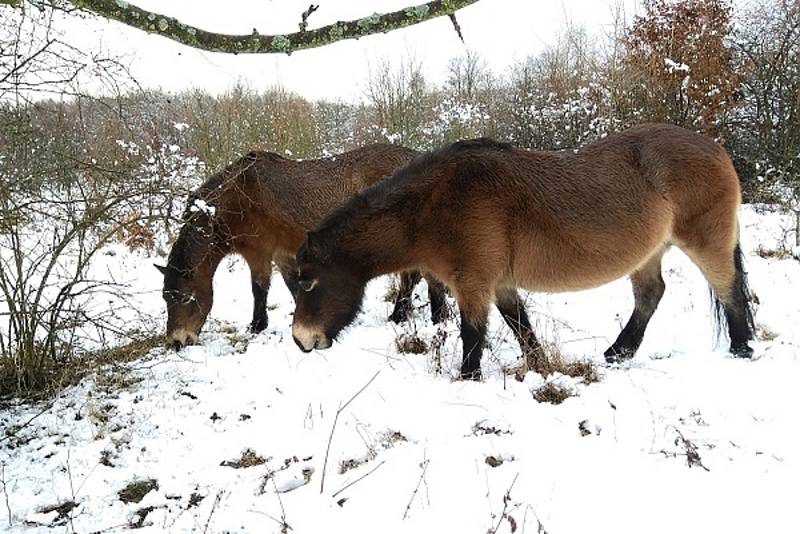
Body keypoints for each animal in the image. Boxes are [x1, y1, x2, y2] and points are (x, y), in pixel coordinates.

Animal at [153, 144, 446, 350]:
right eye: (166, 298)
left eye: (186, 298)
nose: (176, 342)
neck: (238, 198)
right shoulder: (283, 253)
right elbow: (293, 285)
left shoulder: (259, 253)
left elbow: (259, 288)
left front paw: (257, 326)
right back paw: (400, 315)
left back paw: (435, 317)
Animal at [290, 123, 752, 378]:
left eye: (309, 283)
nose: (301, 340)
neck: (436, 203)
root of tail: (716, 148)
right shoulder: (499, 284)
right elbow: (521, 329)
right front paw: (540, 368)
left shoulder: (473, 284)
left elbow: (473, 336)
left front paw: (468, 379)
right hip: (649, 254)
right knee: (651, 295)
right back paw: (618, 353)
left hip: (707, 243)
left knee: (728, 290)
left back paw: (741, 349)